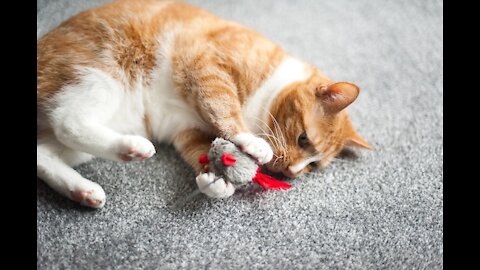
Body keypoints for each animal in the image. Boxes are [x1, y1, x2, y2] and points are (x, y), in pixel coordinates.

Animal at [37, 0, 374, 209]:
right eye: (303, 139)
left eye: (313, 166)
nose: (292, 172)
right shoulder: (207, 66)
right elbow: (224, 108)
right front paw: (251, 143)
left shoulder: (187, 130)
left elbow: (200, 151)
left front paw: (215, 181)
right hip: (100, 76)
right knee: (68, 122)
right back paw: (132, 148)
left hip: (95, 129)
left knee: (43, 154)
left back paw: (83, 190)